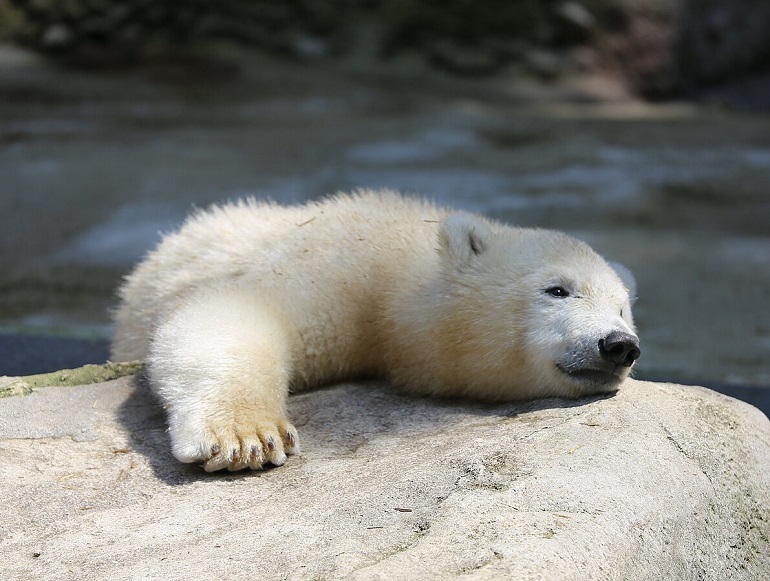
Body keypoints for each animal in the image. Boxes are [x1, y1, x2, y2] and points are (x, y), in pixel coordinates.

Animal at [112, 190, 640, 472]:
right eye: (558, 289)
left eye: (621, 309)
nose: (619, 346)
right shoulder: (333, 267)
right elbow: (233, 310)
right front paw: (246, 437)